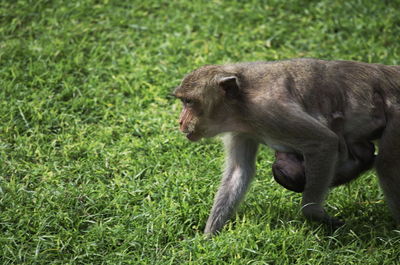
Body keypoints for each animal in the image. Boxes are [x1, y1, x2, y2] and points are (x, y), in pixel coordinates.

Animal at [173, 58, 398, 234]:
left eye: (189, 102)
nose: (180, 121)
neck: (241, 103)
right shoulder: (242, 132)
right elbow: (239, 171)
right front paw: (209, 237)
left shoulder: (271, 111)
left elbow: (324, 142)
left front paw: (315, 214)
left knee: (387, 165)